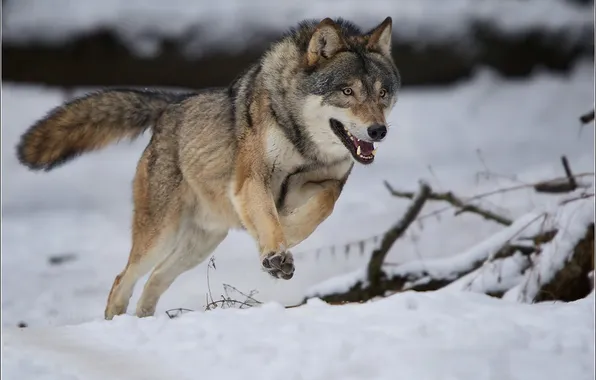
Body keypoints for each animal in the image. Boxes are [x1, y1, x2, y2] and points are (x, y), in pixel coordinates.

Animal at [17, 16, 400, 320]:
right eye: (347, 91)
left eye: (382, 93)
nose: (378, 131)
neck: (303, 143)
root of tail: (170, 104)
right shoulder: (251, 182)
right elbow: (272, 218)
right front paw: (276, 249)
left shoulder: (326, 182)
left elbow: (323, 206)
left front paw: (285, 236)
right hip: (160, 236)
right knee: (122, 280)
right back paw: (115, 325)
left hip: (198, 247)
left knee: (154, 280)